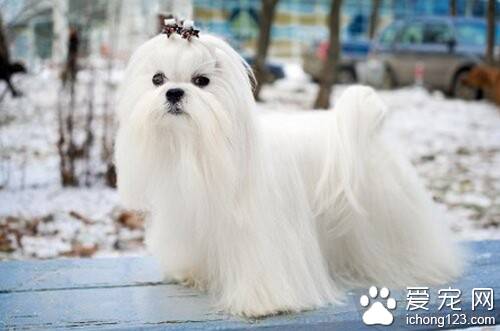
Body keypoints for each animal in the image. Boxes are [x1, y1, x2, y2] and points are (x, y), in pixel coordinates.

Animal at [114, 27, 464, 318]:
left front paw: (261, 304)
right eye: (157, 79)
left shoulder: (259, 232)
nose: (173, 92)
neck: (199, 148)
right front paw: (191, 273)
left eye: (202, 81)